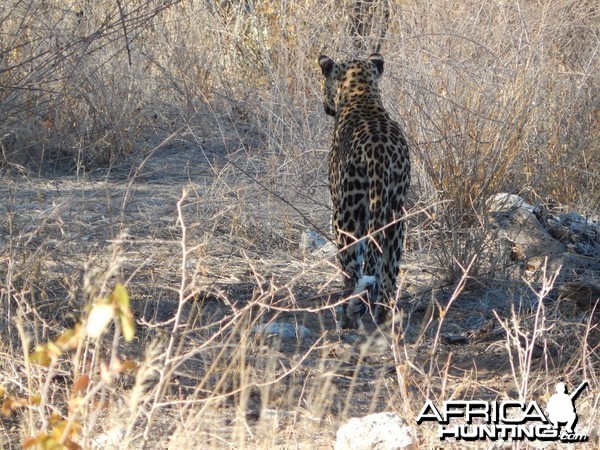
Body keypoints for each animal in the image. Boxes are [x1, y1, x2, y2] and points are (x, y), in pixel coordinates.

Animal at [316, 52, 410, 328]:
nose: (326, 107)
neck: (362, 95)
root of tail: (379, 155)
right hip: (396, 215)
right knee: (388, 270)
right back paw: (384, 315)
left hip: (346, 214)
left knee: (353, 267)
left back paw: (347, 315)